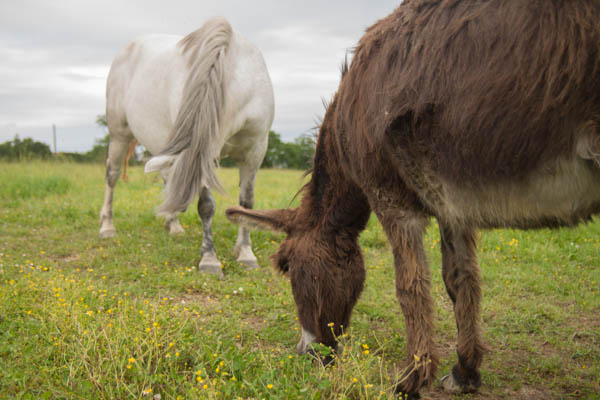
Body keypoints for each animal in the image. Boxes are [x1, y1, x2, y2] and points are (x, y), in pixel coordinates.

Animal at [100, 17, 274, 276]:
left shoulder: (255, 150)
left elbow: (246, 202)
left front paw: (245, 254)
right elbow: (206, 205)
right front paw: (210, 259)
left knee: (164, 177)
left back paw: (173, 226)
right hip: (119, 134)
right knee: (112, 176)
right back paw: (107, 227)